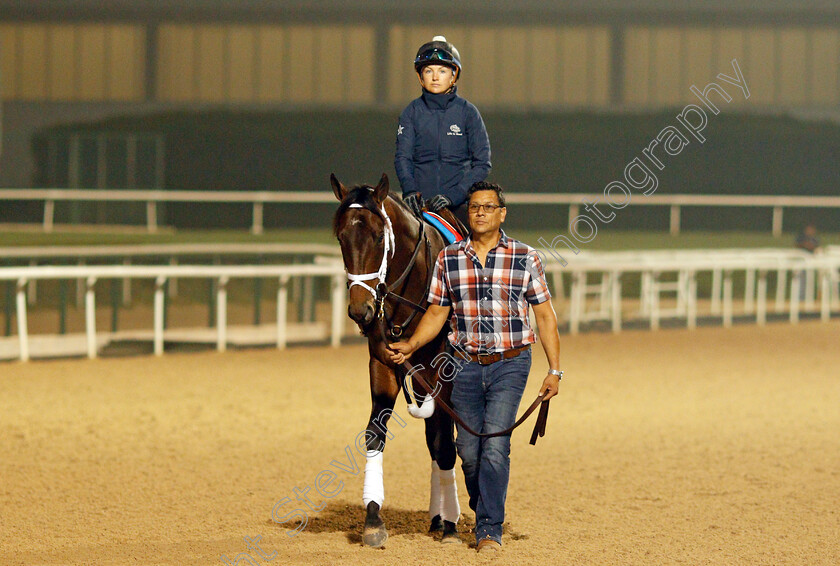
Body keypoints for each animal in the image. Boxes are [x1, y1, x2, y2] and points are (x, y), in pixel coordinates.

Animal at [330, 174, 460, 552]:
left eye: (378, 236)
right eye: (341, 237)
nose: (360, 310)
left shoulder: (442, 370)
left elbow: (445, 443)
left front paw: (451, 525)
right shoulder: (383, 361)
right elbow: (376, 434)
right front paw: (373, 520)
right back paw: (436, 515)